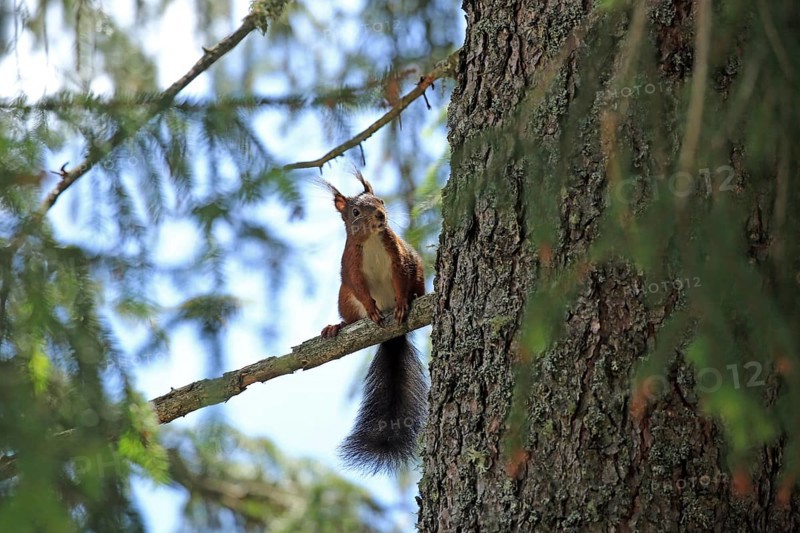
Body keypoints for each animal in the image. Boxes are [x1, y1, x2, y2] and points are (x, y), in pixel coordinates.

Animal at [319, 171, 428, 474]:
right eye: (356, 212)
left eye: (380, 200)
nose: (380, 215)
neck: (372, 240)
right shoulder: (350, 266)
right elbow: (360, 288)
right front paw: (371, 309)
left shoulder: (400, 256)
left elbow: (402, 277)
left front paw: (403, 302)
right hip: (344, 298)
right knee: (350, 315)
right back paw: (337, 327)